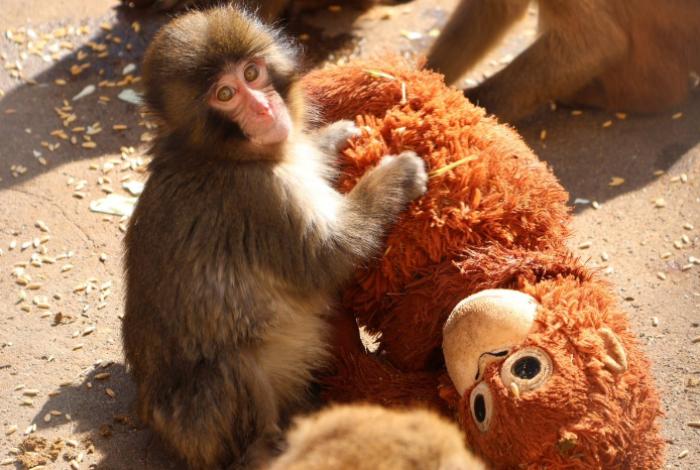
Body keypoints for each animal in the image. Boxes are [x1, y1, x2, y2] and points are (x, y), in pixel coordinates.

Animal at [122, 5, 428, 469]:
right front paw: (396, 175)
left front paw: (332, 138)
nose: (265, 108)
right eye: (225, 94)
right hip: (200, 427)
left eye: (252, 73)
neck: (221, 154)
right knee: (230, 367)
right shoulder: (259, 198)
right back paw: (268, 446)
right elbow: (328, 256)